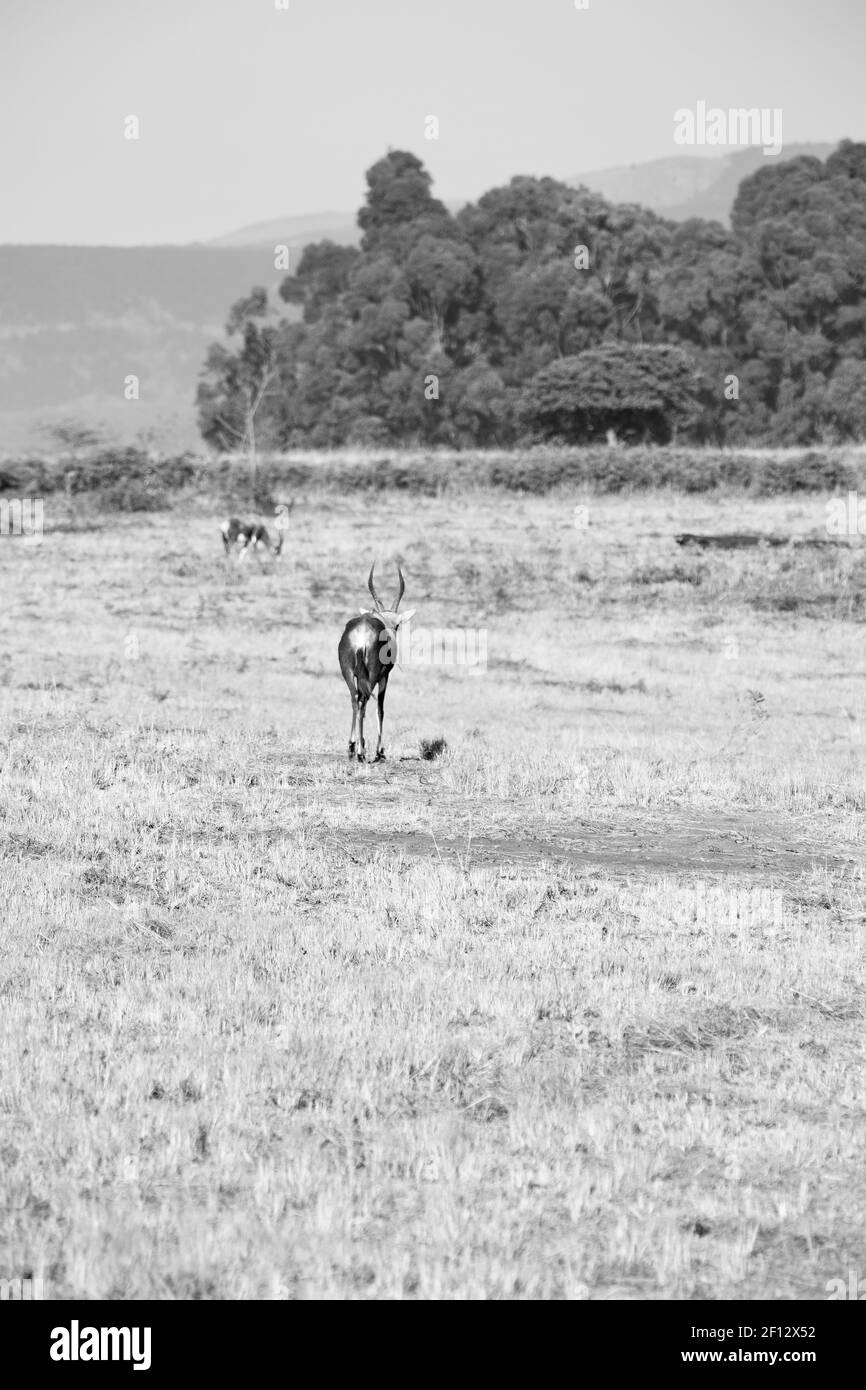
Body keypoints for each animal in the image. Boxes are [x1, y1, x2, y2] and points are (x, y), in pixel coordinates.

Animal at [339, 561, 417, 761]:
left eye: (397, 624)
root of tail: (362, 632)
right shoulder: (384, 677)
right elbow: (380, 708)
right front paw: (379, 751)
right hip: (373, 675)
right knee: (364, 701)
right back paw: (361, 752)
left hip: (349, 673)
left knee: (355, 699)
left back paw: (352, 748)